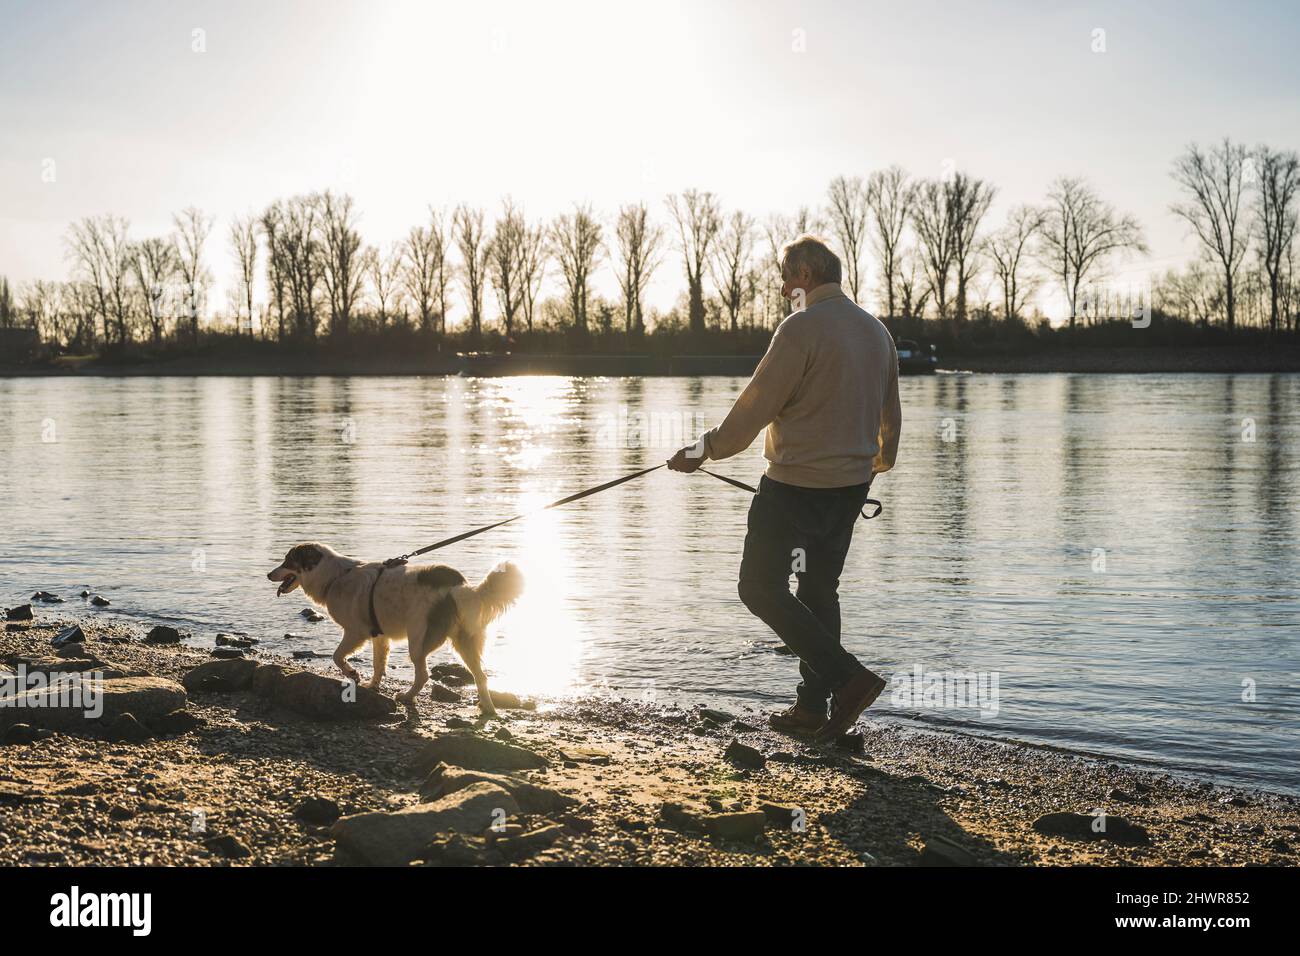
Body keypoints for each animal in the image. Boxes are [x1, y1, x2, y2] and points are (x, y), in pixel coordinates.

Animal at [263, 546, 522, 717]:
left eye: (287, 560)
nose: (268, 574)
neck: (335, 576)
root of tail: (460, 586)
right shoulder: (379, 635)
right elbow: (378, 664)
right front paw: (372, 686)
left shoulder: (356, 632)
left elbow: (337, 656)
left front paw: (353, 674)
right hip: (465, 641)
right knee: (481, 675)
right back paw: (488, 708)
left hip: (418, 640)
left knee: (423, 675)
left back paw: (407, 697)